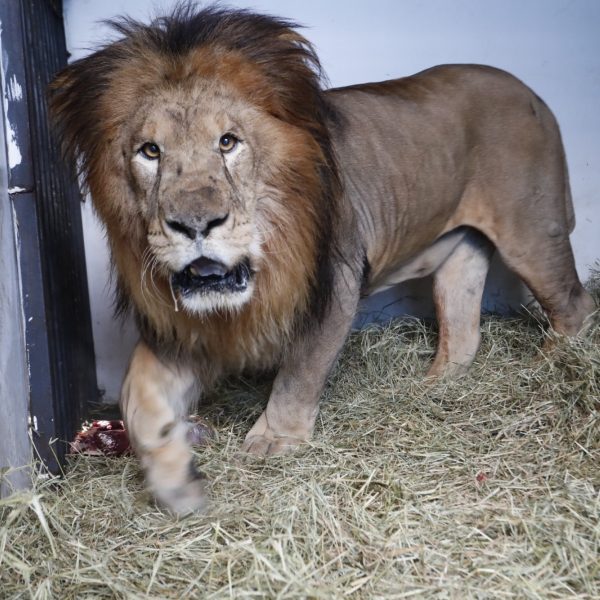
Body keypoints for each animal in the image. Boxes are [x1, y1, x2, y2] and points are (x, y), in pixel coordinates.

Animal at [50, 4, 596, 512]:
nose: (195, 225)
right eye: (150, 151)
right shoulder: (185, 325)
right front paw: (174, 479)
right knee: (463, 335)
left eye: (227, 142)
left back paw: (547, 368)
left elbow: (300, 372)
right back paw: (431, 389)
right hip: (460, 254)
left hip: (531, 232)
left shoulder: (333, 286)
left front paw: (275, 440)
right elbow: (139, 395)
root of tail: (529, 90)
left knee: (575, 304)